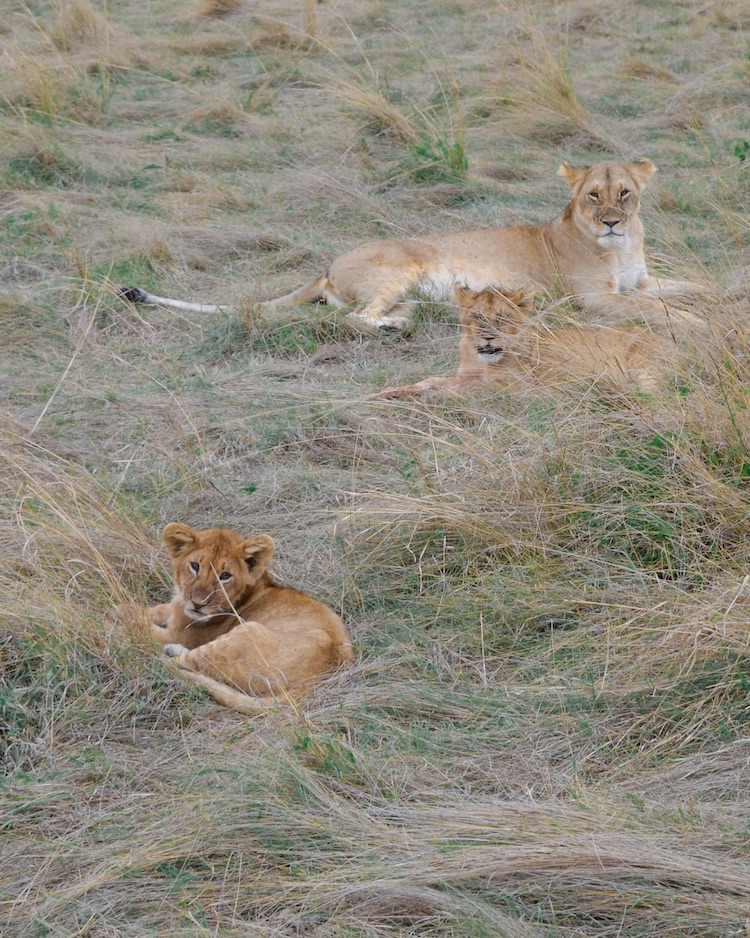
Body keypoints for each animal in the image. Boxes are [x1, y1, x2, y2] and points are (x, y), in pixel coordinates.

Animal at [120, 158, 705, 335]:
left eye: (625, 194)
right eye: (592, 197)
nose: (611, 222)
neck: (621, 247)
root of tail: (328, 264)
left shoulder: (641, 279)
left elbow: (692, 287)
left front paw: (715, 299)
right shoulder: (595, 299)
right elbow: (659, 311)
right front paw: (702, 327)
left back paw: (409, 322)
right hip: (395, 271)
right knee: (349, 318)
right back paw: (390, 327)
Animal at [148, 522, 354, 714]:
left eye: (225, 575)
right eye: (195, 566)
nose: (198, 604)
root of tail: (319, 680)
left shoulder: (178, 634)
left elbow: (143, 625)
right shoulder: (174, 609)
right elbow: (154, 610)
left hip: (245, 632)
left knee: (178, 664)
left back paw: (163, 655)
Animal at [380, 284, 677, 397]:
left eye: (503, 318)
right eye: (478, 317)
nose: (488, 337)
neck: (480, 359)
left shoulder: (514, 387)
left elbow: (462, 390)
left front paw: (431, 398)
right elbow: (431, 380)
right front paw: (390, 392)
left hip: (642, 362)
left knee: (656, 392)